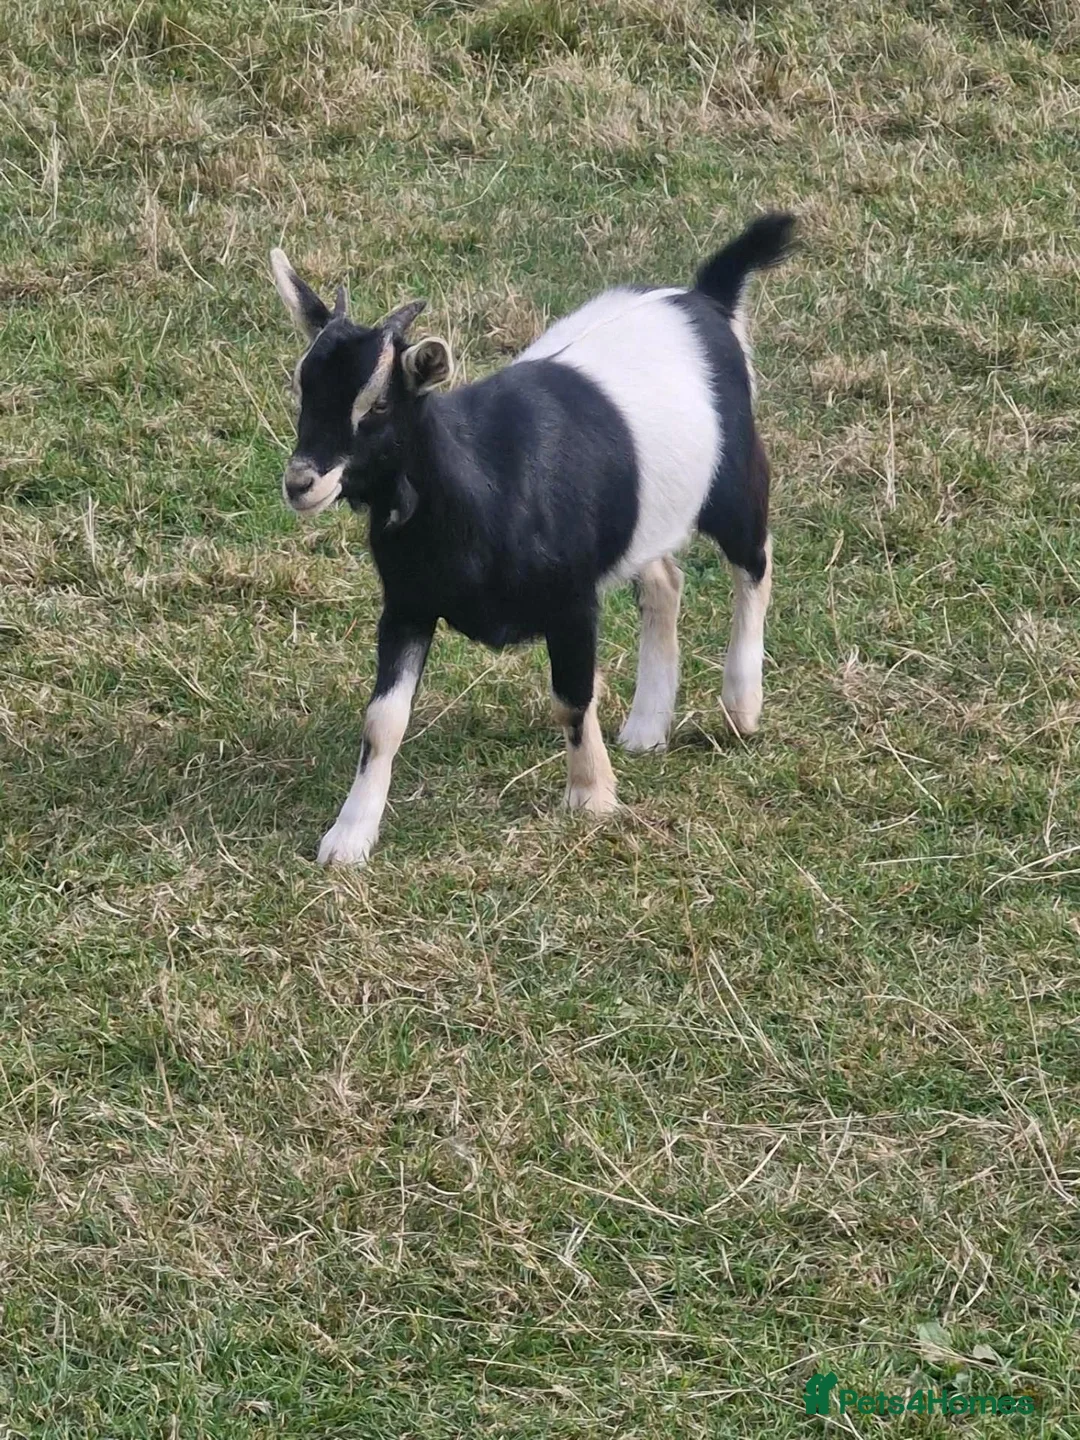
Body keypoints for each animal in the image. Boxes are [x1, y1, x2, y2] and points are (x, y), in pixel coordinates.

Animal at [269, 213, 795, 866]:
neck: (484, 481)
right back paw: (646, 727)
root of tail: (705, 299)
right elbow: (382, 720)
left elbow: (572, 696)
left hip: (734, 481)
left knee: (755, 564)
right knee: (664, 581)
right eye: (302, 387)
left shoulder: (572, 601)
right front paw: (348, 839)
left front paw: (592, 796)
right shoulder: (408, 605)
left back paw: (741, 706)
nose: (301, 482)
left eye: (380, 403)